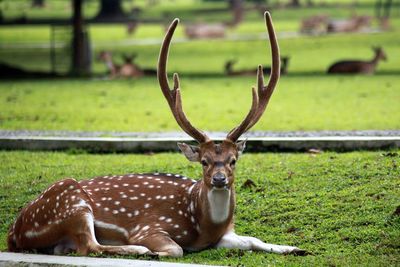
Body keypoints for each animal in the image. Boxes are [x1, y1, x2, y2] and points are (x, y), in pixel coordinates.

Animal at [7, 12, 306, 258]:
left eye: (233, 160)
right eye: (204, 161)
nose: (219, 179)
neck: (202, 224)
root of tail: (14, 232)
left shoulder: (224, 235)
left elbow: (253, 240)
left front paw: (295, 248)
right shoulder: (150, 226)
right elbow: (176, 249)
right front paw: (153, 250)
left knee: (70, 247)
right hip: (72, 203)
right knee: (89, 246)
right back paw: (140, 251)